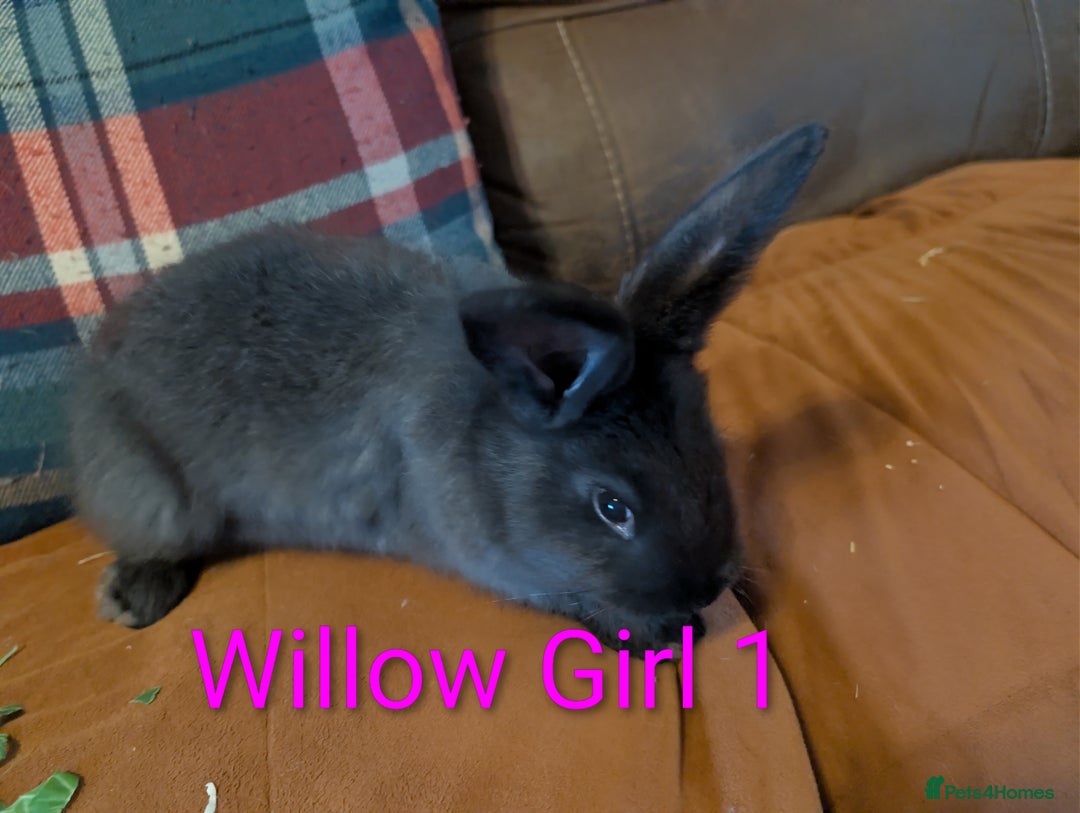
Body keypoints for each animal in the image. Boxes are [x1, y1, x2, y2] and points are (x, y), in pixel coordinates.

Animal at [68, 123, 827, 655]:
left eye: (712, 441)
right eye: (611, 506)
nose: (711, 584)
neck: (489, 439)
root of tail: (91, 380)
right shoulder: (499, 562)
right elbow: (572, 599)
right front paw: (663, 633)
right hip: (158, 502)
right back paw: (129, 598)